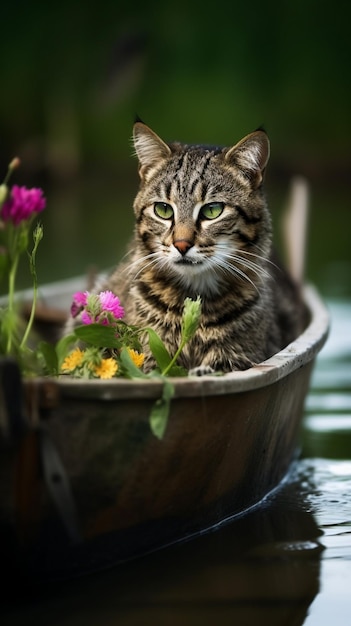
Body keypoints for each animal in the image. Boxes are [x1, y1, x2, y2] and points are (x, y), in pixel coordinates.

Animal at [94, 123, 308, 372]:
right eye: (163, 210)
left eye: (213, 210)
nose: (181, 244)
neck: (193, 293)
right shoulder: (146, 354)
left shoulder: (239, 358)